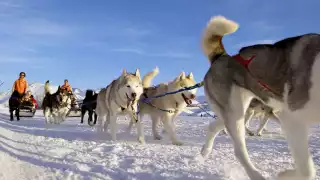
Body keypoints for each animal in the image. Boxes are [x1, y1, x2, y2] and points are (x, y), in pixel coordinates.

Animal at [200, 15, 320, 180]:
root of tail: (222, 57)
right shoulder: (293, 119)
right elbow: (307, 170)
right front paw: (283, 174)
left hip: (236, 111)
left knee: (213, 126)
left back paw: (205, 151)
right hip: (235, 113)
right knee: (239, 151)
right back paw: (256, 174)